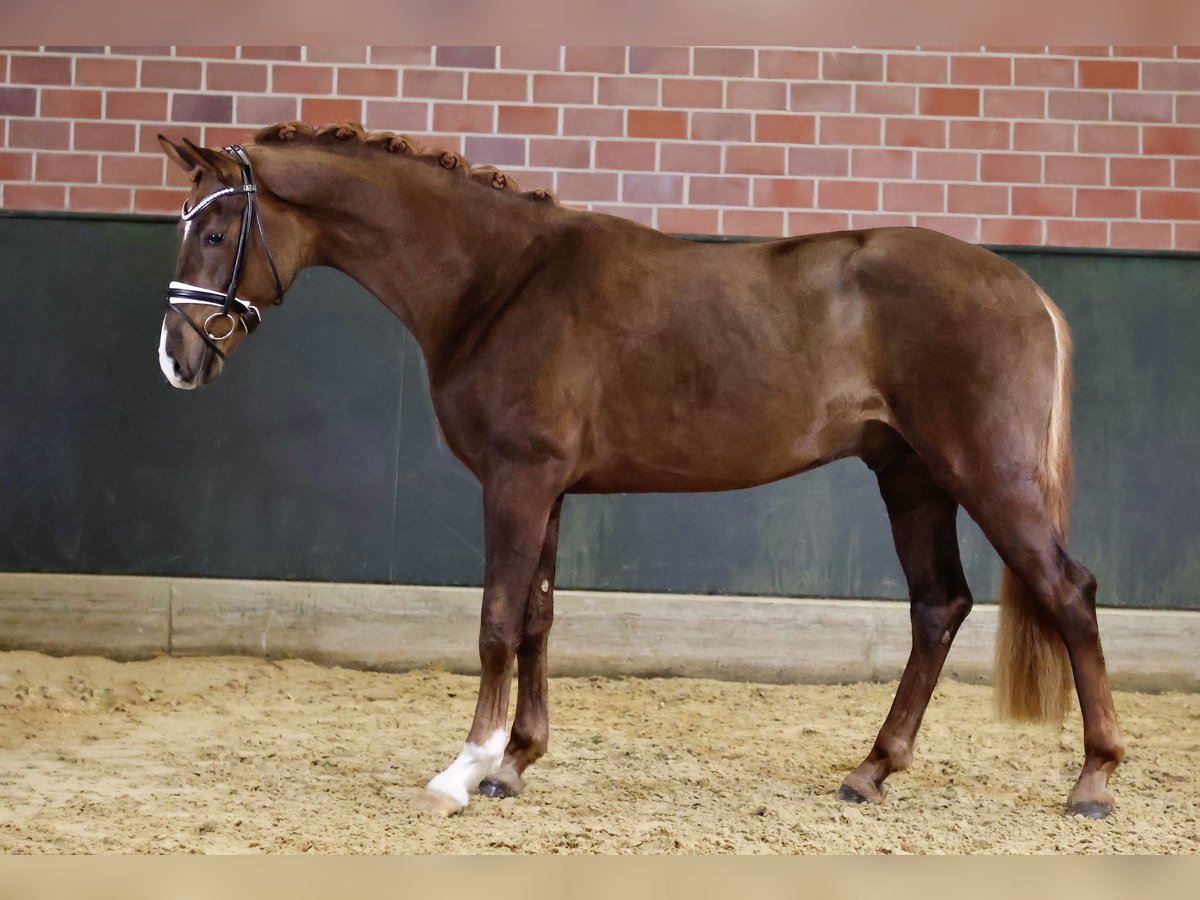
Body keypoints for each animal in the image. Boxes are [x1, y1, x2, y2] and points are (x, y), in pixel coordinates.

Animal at [154, 125, 1118, 825]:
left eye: (215, 230)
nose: (177, 360)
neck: (498, 283)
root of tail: (1026, 291)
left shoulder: (516, 482)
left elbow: (496, 622)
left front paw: (463, 770)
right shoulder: (546, 491)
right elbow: (537, 619)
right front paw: (515, 764)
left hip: (986, 475)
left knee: (1067, 592)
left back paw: (1094, 783)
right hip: (913, 478)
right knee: (938, 606)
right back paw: (871, 771)